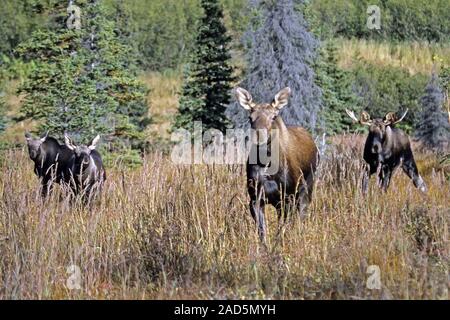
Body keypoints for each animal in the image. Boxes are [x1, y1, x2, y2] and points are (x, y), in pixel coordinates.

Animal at [236, 86, 320, 241]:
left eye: (273, 116)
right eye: (250, 117)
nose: (260, 137)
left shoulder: (287, 197)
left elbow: (282, 230)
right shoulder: (255, 198)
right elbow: (262, 232)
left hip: (307, 185)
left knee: (302, 213)